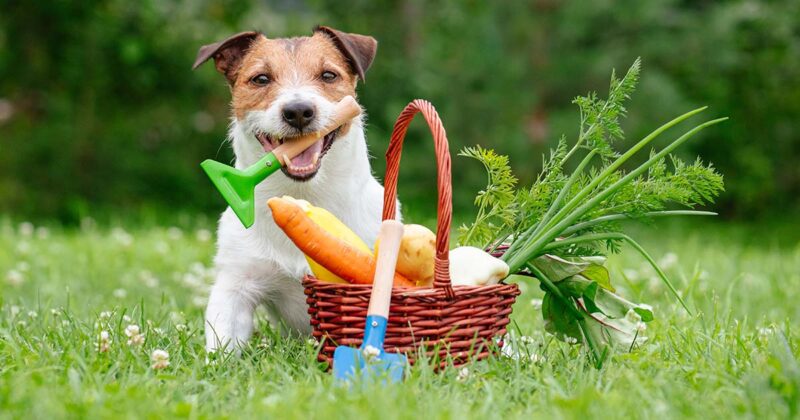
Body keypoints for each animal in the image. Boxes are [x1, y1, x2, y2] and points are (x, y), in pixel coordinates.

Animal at [195, 26, 394, 352]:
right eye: (261, 79)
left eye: (328, 75)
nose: (299, 111)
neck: (302, 197)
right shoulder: (235, 286)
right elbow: (222, 343)